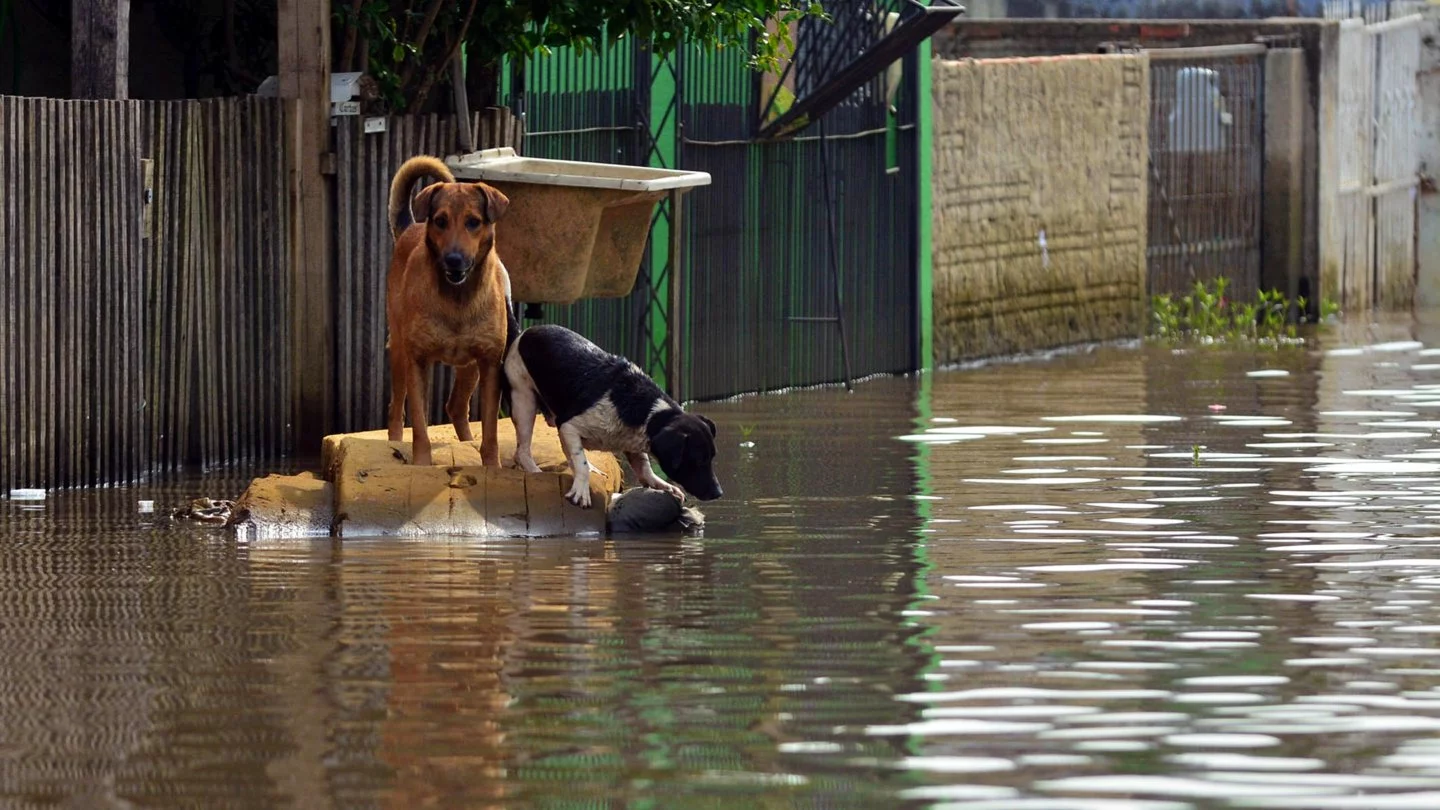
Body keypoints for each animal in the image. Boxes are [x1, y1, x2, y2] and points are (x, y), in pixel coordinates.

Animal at [388, 154, 512, 466]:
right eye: (441, 221)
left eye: (473, 222)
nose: (454, 259)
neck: (458, 298)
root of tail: (410, 227)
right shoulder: (417, 360)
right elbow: (420, 427)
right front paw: (421, 464)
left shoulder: (490, 363)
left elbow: (491, 431)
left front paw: (492, 466)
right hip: (399, 352)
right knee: (397, 409)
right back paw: (393, 444)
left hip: (471, 368)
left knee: (456, 406)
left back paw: (467, 443)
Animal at [504, 321, 725, 504]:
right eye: (698, 460)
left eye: (712, 457)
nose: (718, 493)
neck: (647, 413)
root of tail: (522, 333)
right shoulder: (569, 426)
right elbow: (580, 462)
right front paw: (581, 490)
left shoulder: (633, 444)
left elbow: (644, 468)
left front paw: (662, 485)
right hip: (523, 401)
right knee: (522, 451)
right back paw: (535, 471)